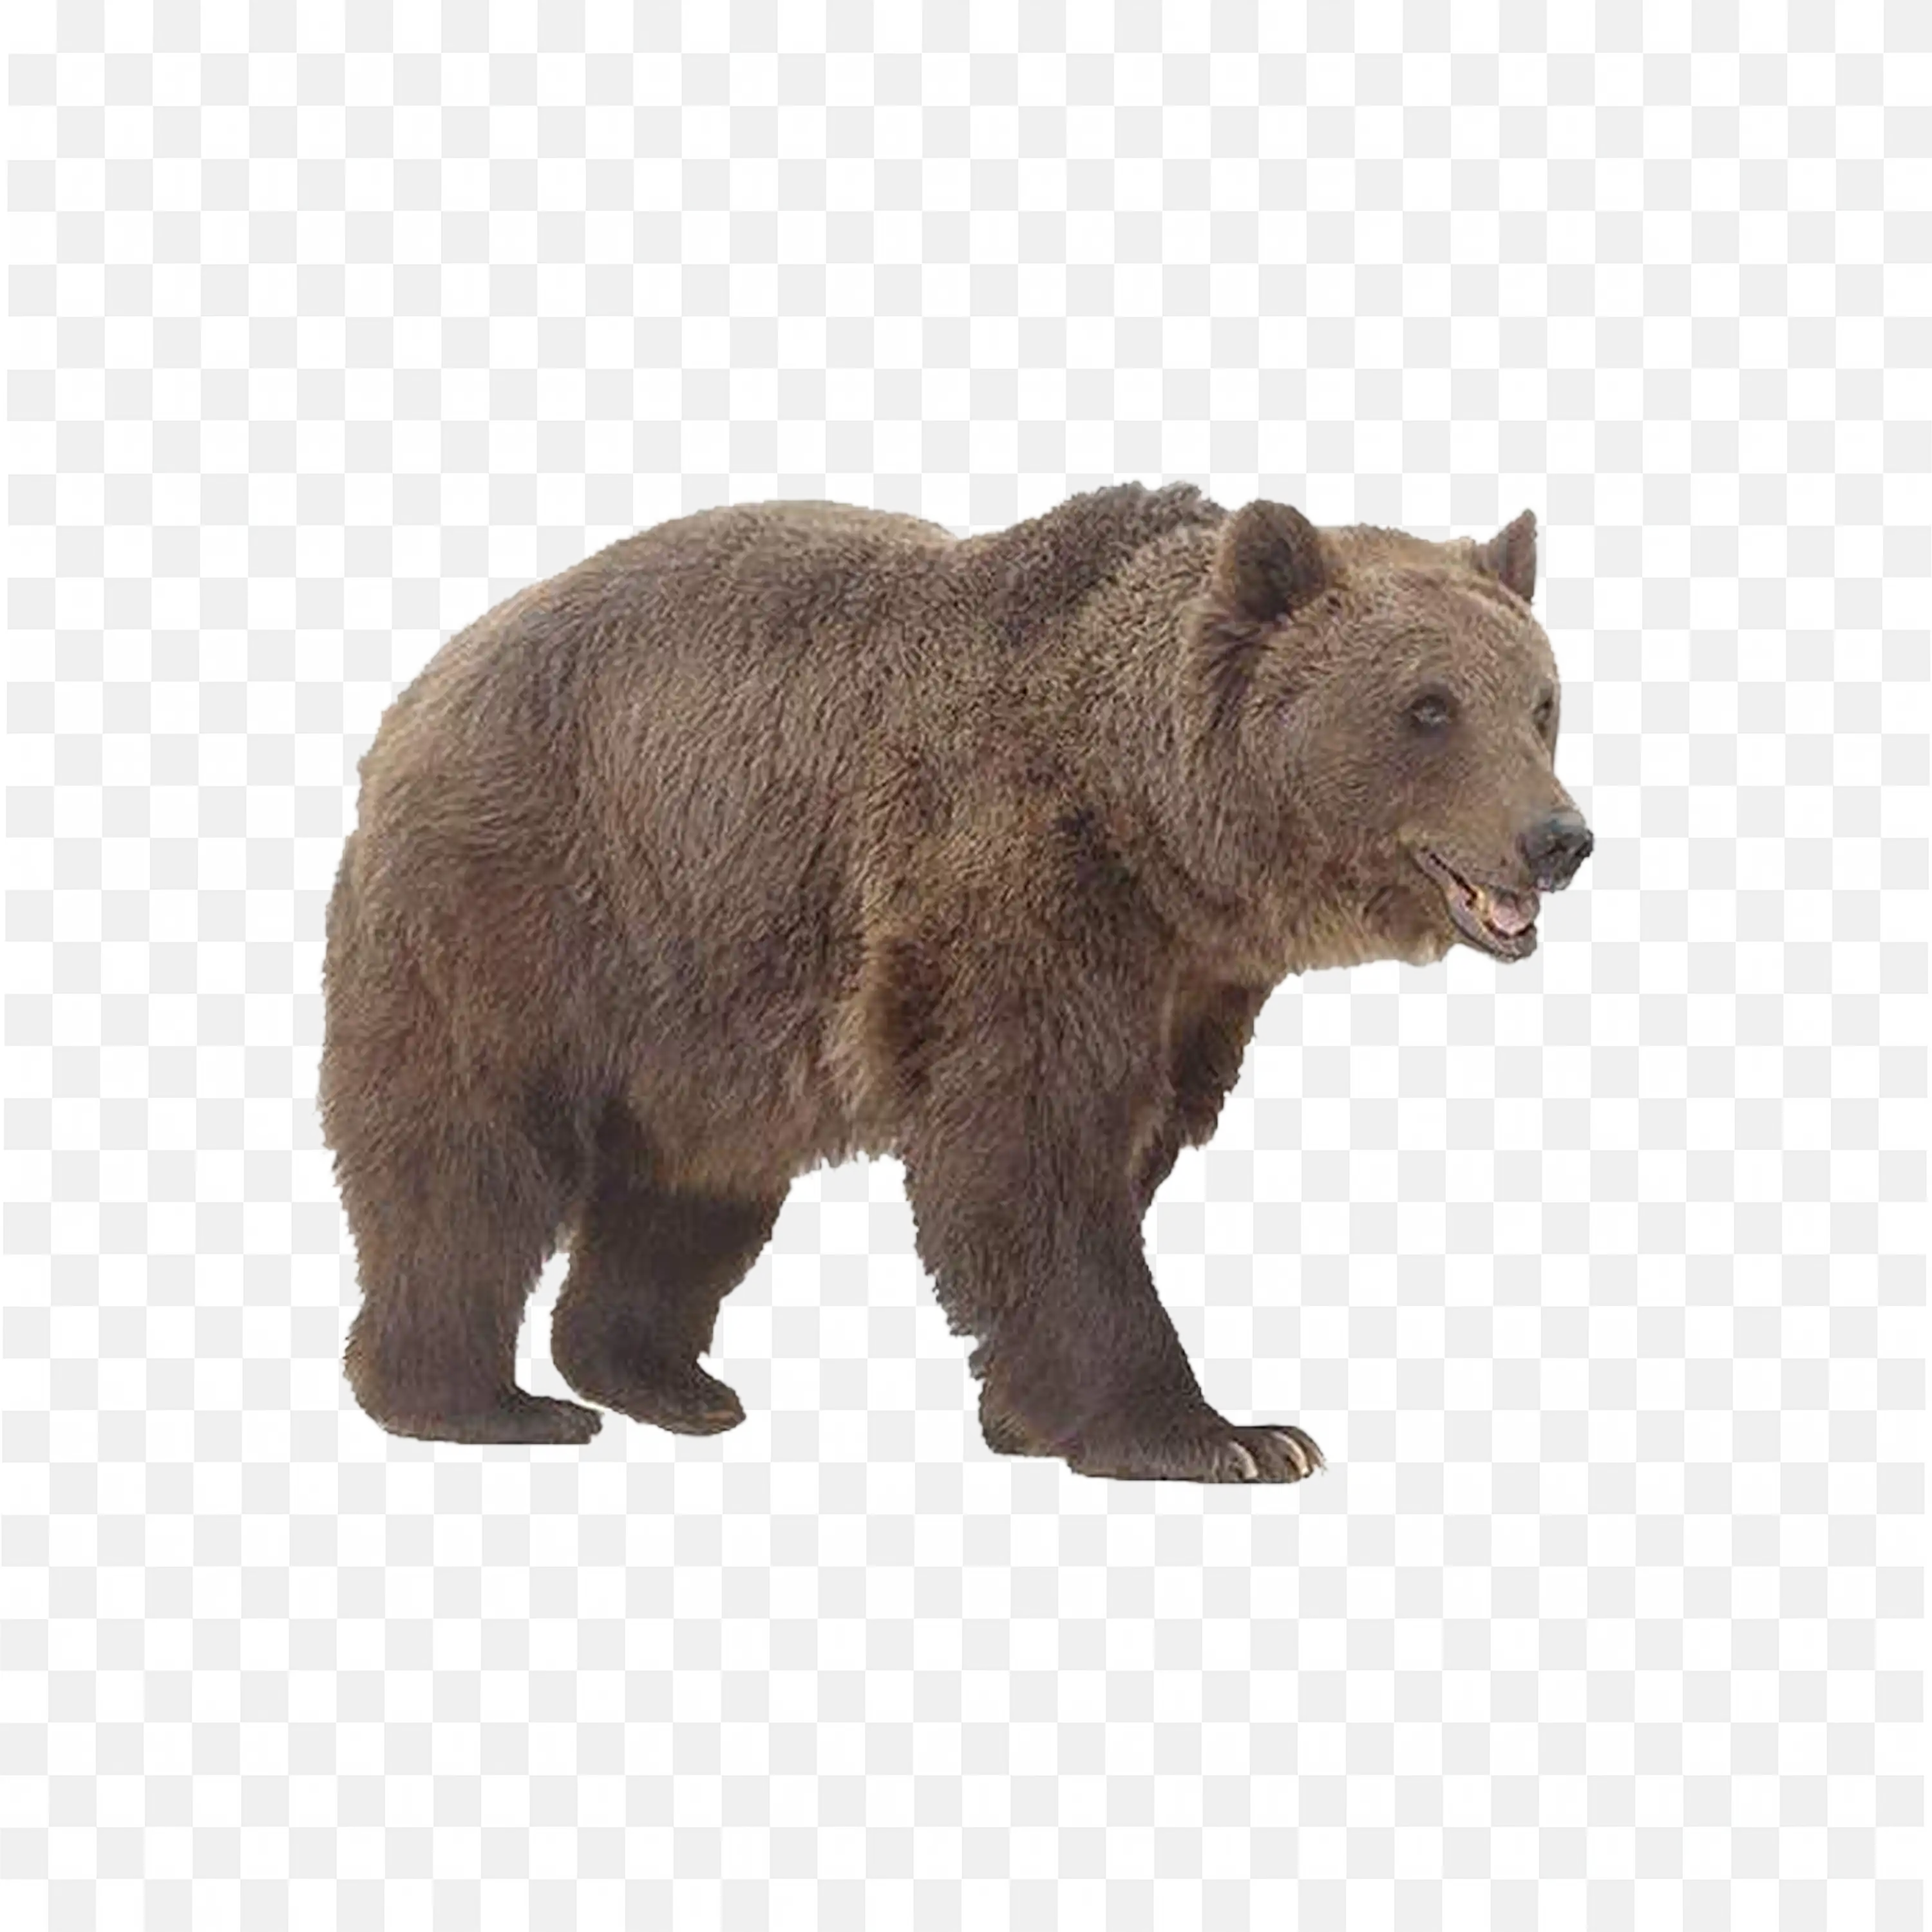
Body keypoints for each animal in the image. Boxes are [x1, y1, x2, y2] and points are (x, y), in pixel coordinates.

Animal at [318, 483, 1592, 1482]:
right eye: (1428, 706)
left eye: (1541, 702)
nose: (1557, 839)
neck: (1161, 836)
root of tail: (425, 683)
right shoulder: (1017, 892)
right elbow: (1029, 1149)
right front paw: (1227, 1434)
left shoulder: (1188, 986)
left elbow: (1123, 1147)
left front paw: (1034, 1414)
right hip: (534, 897)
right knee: (467, 1153)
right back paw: (479, 1401)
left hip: (711, 988)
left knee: (694, 1185)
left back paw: (660, 1377)